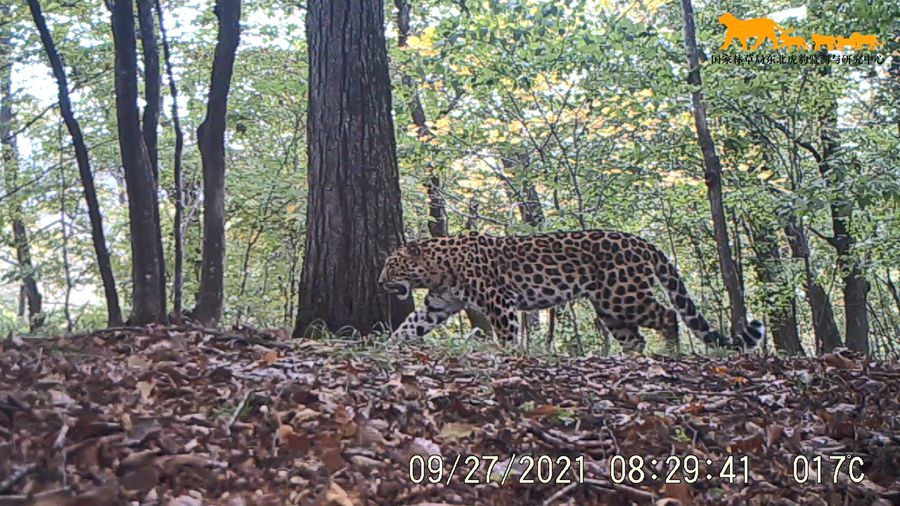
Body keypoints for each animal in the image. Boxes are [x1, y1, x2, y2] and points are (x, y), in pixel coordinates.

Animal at [376, 230, 764, 352]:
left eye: (391, 265)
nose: (379, 282)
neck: (438, 270)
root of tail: (643, 242)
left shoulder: (500, 302)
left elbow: (507, 334)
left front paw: (507, 355)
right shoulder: (438, 305)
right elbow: (410, 325)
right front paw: (385, 346)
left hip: (622, 295)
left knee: (669, 315)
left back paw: (669, 353)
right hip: (609, 307)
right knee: (635, 338)